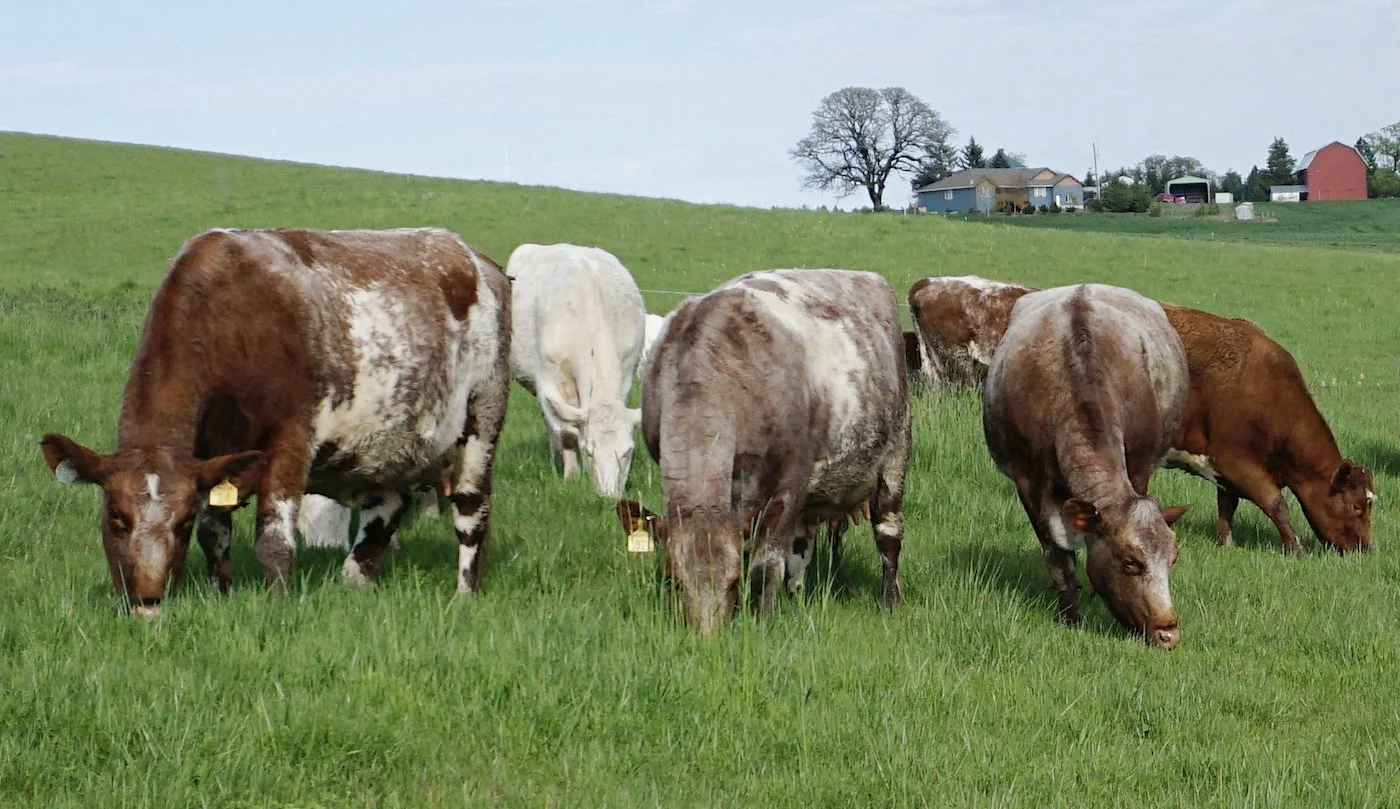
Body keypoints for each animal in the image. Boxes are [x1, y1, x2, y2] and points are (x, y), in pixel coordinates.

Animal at [39, 227, 511, 617]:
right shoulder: (212, 460)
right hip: (390, 440)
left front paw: (278, 605)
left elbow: (274, 541)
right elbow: (216, 533)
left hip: (483, 414)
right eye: (116, 517)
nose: (147, 602)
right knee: (388, 507)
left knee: (471, 510)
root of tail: (477, 259)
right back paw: (355, 581)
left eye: (180, 522)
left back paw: (464, 593)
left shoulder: (290, 442)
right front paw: (222, 593)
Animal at [505, 243, 645, 498]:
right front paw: (570, 477)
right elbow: (567, 433)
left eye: (628, 451)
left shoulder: (626, 374)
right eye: (589, 451)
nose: (609, 497)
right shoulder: (550, 380)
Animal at [616, 269, 910, 636]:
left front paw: (762, 621)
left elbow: (765, 568)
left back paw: (890, 600)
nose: (707, 640)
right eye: (674, 582)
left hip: (895, 454)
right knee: (801, 548)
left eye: (732, 582)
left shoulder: (787, 488)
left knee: (888, 536)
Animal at [983, 284, 1189, 648]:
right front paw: (1071, 616)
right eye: (1130, 562)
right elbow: (1057, 557)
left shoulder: (1139, 468)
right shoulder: (1029, 483)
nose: (1169, 634)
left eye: (1173, 559)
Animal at [1160, 304, 1374, 554]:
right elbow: (1276, 504)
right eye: (1355, 506)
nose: (1366, 549)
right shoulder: (1236, 463)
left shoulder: (1226, 473)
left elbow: (1227, 505)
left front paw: (1226, 543)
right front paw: (1296, 548)